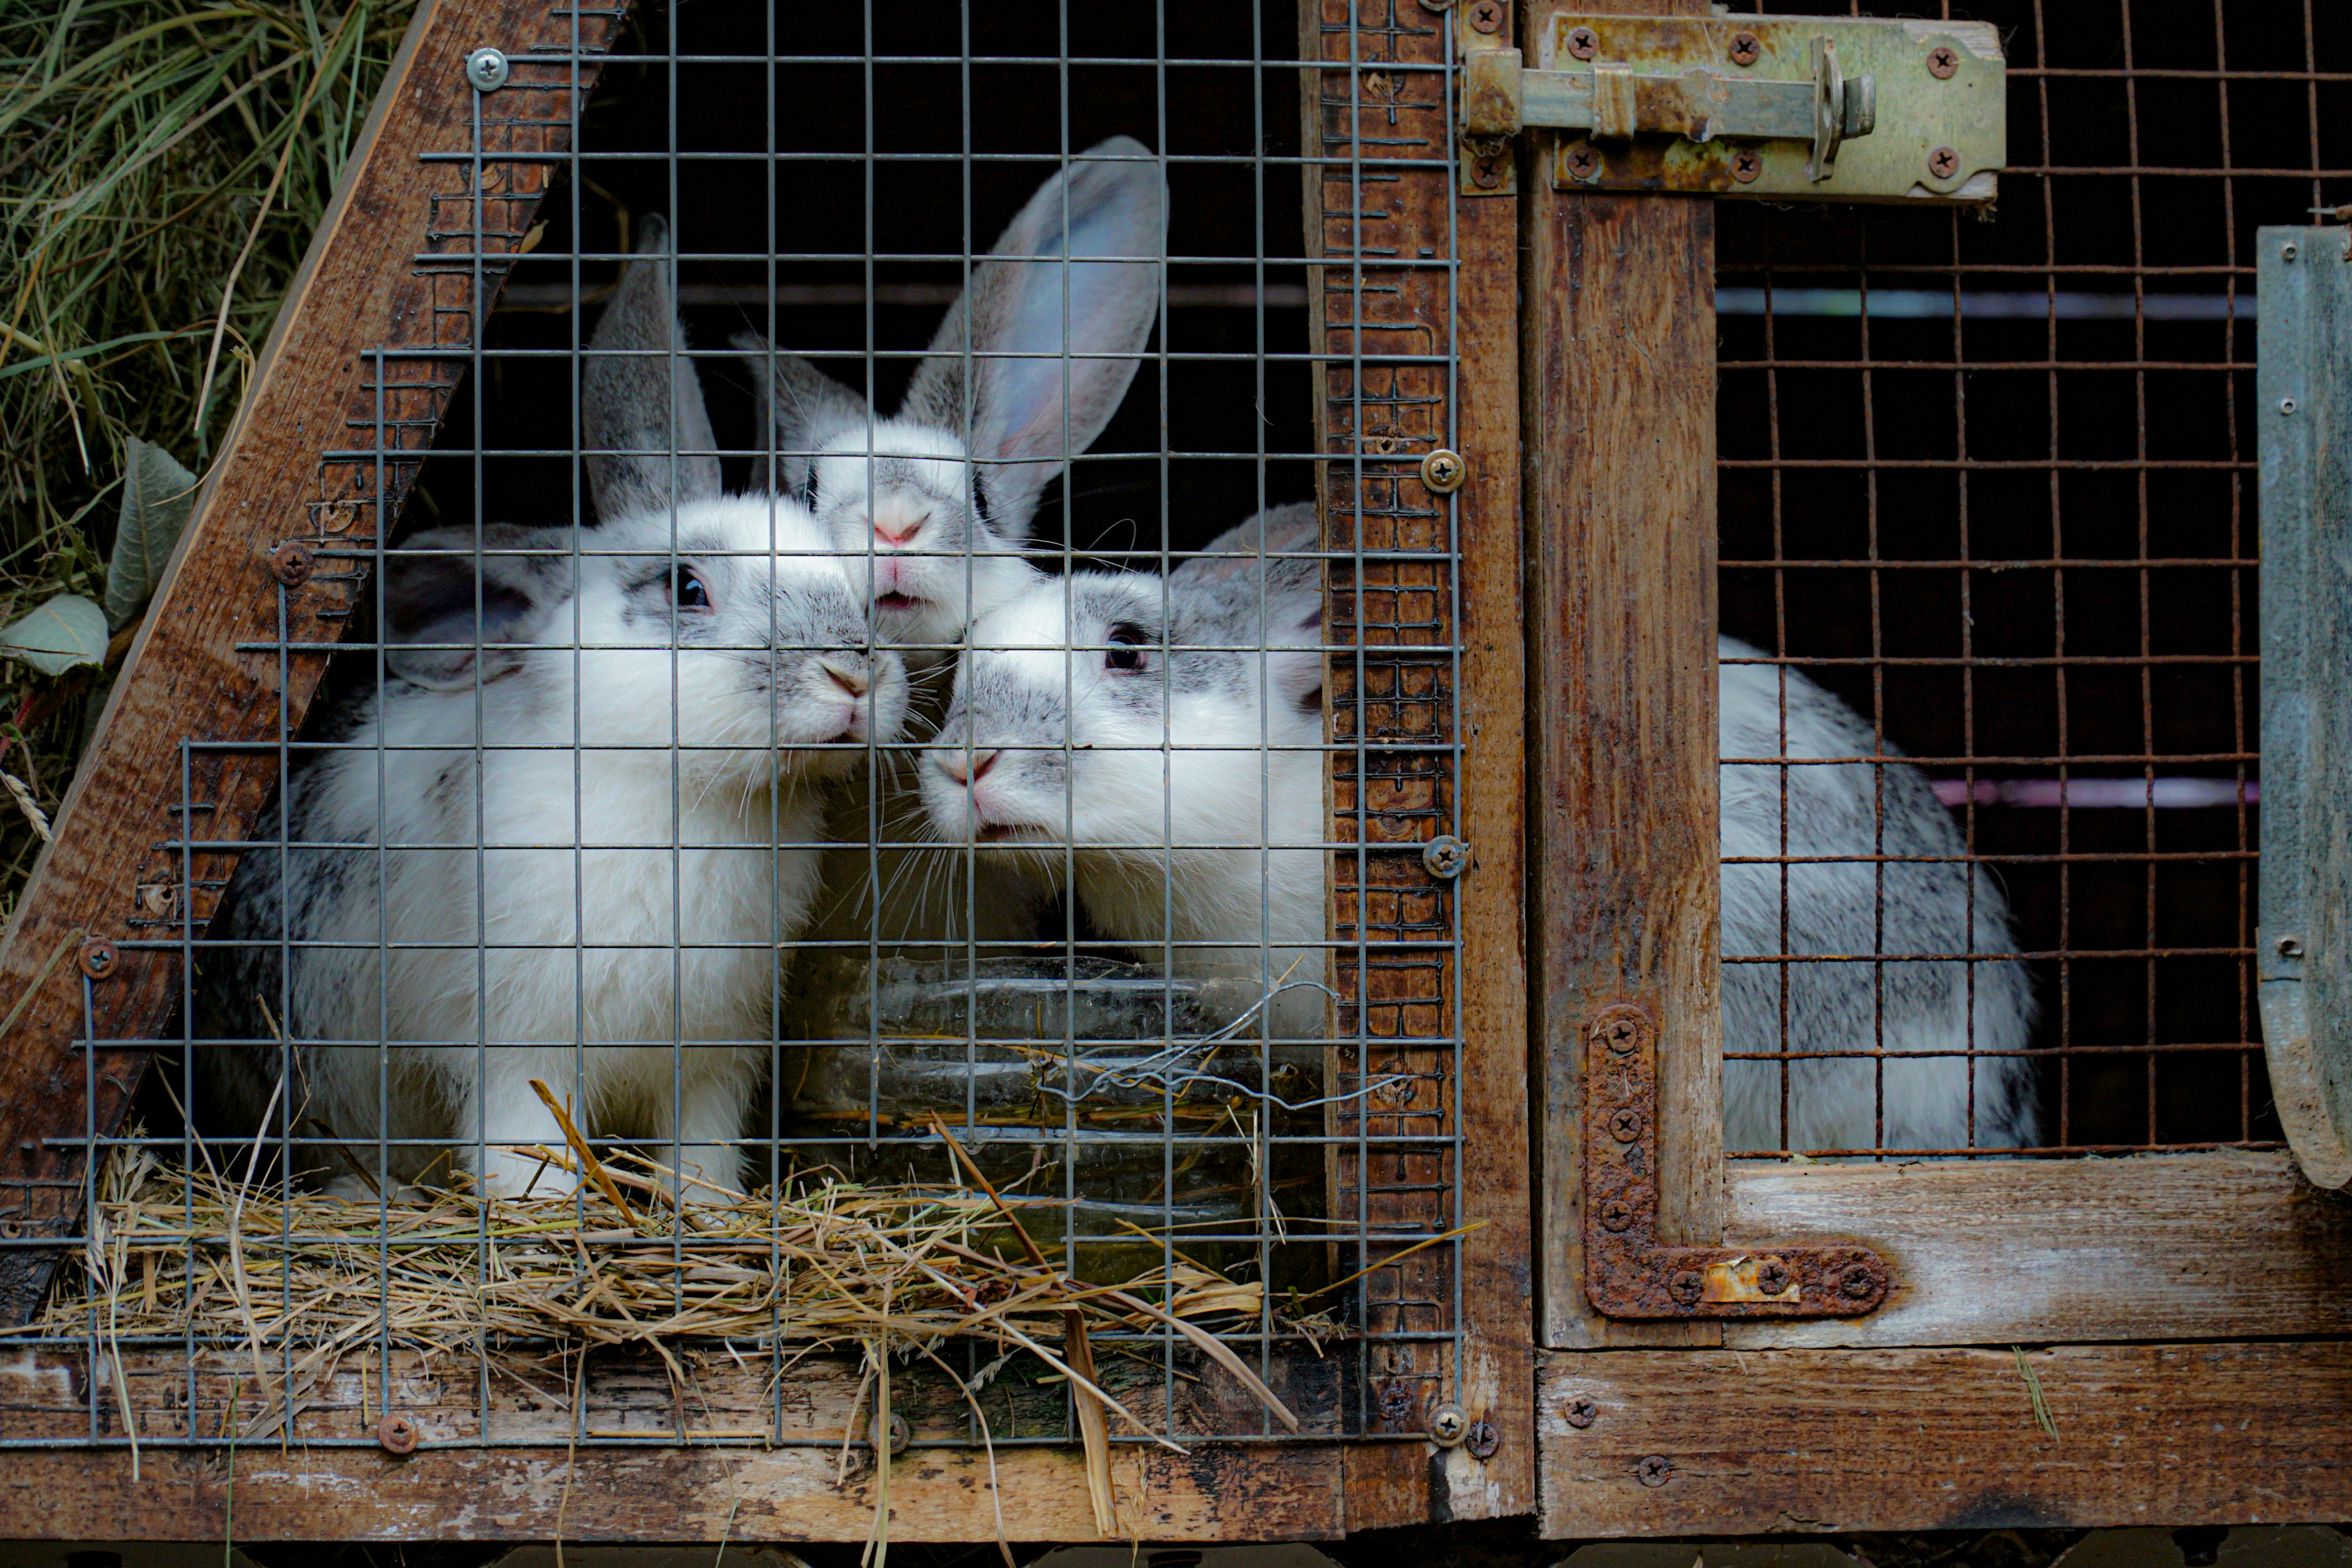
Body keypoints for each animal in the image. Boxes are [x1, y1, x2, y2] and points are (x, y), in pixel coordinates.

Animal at [196, 217, 909, 1201]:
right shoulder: (519, 1052)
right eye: (687, 588)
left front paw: (709, 1208)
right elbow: (525, 1149)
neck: (684, 792)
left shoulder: (711, 1060)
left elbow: (702, 1153)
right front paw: (539, 1211)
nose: (853, 675)